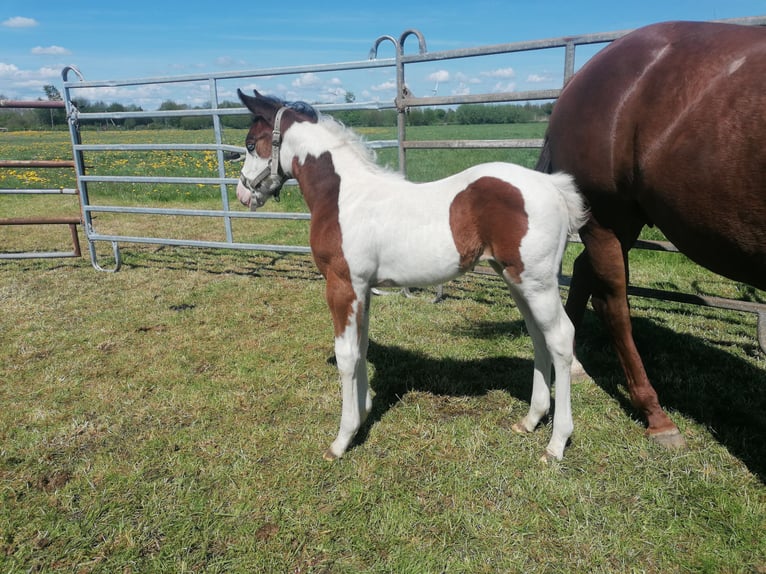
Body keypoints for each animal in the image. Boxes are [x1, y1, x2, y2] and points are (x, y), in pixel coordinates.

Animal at [235, 89, 588, 462]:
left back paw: (556, 443)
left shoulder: (342, 285)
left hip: (537, 282)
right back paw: (531, 420)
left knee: (560, 338)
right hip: (516, 279)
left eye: (249, 144)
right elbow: (361, 346)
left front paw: (342, 439)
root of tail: (552, 185)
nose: (242, 193)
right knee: (538, 336)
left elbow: (347, 355)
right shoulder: (363, 289)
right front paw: (363, 413)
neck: (344, 195)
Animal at [536, 20, 766, 449]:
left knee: (583, 273)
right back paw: (656, 415)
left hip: (621, 223)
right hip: (607, 218)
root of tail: (580, 79)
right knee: (613, 304)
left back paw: (572, 364)